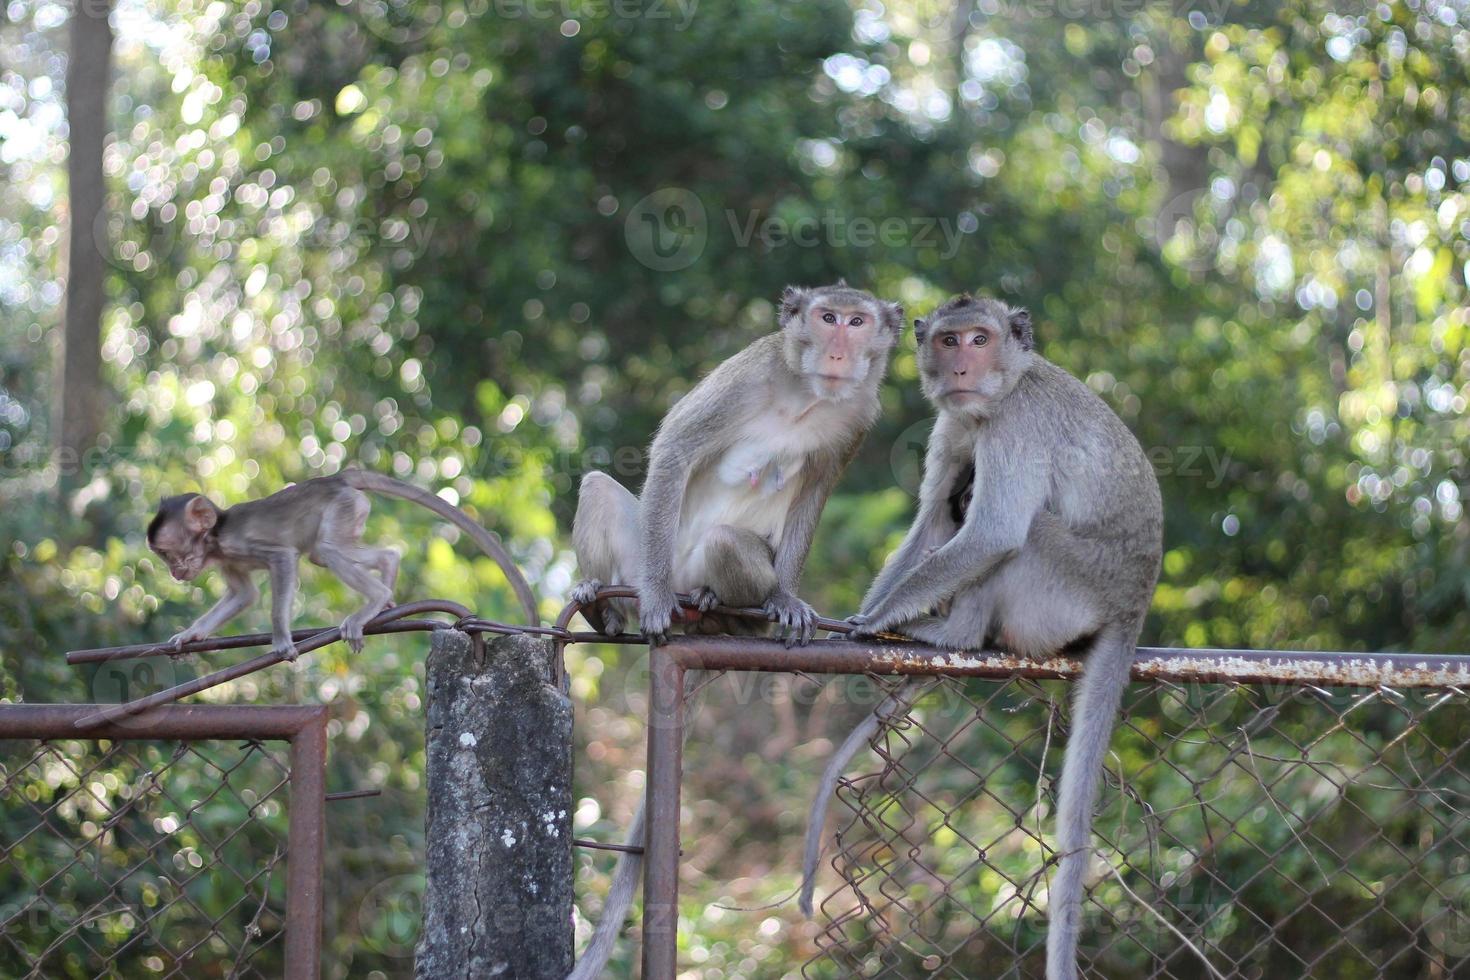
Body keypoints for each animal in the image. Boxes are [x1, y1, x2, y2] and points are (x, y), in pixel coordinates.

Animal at [141, 470, 535, 658]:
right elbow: (244, 595)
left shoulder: (240, 544)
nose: (174, 572)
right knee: (323, 553)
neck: (217, 536)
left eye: (171, 553)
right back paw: (387, 573)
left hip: (344, 505)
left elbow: (283, 560)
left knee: (326, 550)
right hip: (353, 509)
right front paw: (192, 634)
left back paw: (375, 599)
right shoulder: (225, 558)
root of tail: (338, 477)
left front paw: (281, 641)